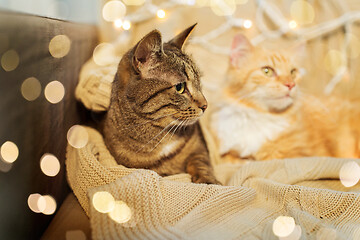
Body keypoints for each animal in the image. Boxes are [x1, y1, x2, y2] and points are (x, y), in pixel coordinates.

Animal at [101, 24, 219, 185]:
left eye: (199, 82)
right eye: (180, 87)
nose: (205, 105)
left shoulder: (199, 146)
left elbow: (201, 162)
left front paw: (209, 181)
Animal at [210, 33, 360, 161]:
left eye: (292, 72)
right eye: (267, 71)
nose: (290, 84)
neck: (258, 116)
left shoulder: (298, 155)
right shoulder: (229, 154)